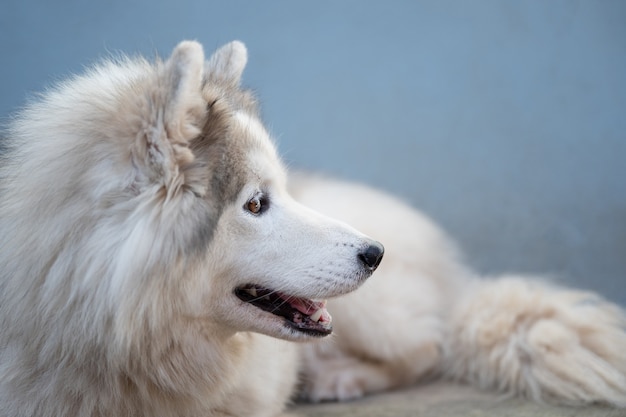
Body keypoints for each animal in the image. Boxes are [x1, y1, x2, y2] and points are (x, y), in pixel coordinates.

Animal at [0, 39, 620, 416]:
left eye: (281, 192)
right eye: (256, 204)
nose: (375, 253)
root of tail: (456, 278)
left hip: (375, 314)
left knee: (427, 347)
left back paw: (342, 379)